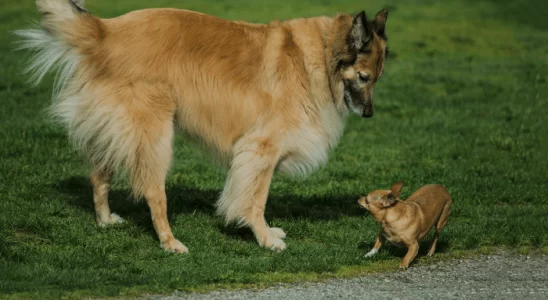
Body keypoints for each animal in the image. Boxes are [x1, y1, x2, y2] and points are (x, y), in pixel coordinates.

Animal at [16, 0, 390, 253]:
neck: (319, 55)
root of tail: (105, 32)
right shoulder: (260, 149)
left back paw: (106, 221)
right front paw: (265, 238)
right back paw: (170, 242)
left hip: (117, 131)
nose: (370, 114)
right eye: (364, 77)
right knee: (154, 194)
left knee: (98, 176)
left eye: (377, 79)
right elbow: (255, 199)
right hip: (155, 137)